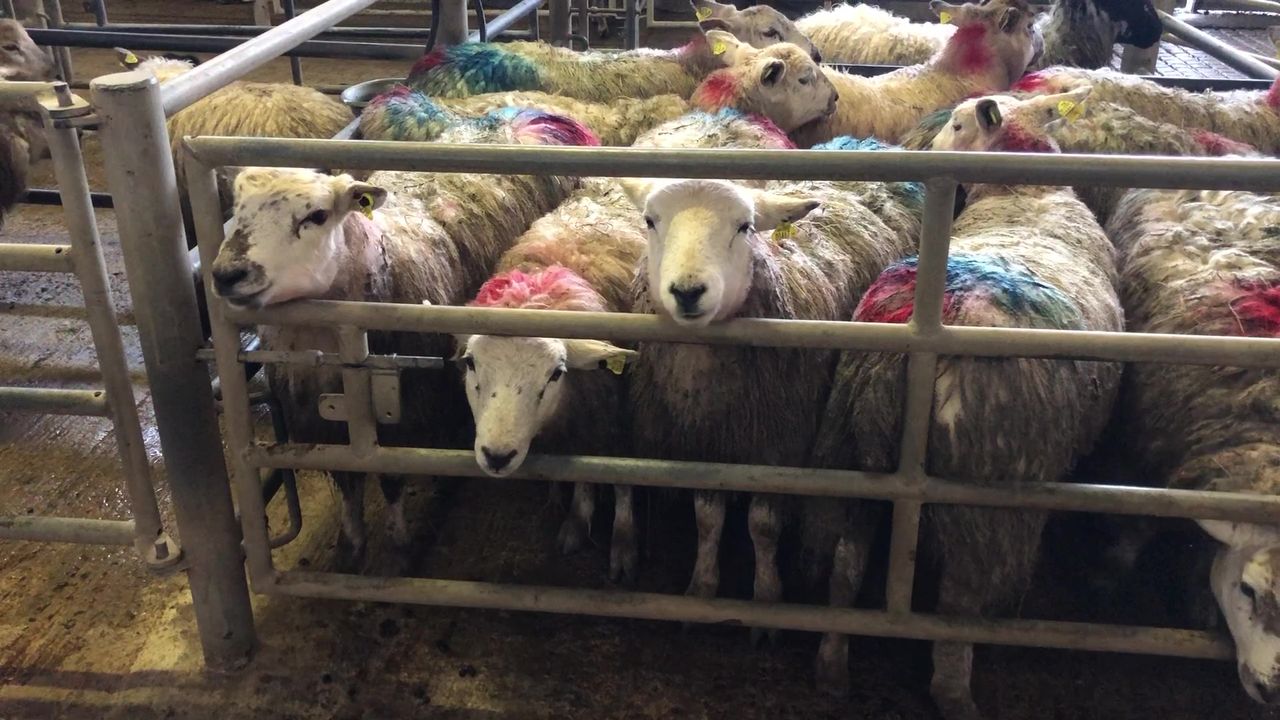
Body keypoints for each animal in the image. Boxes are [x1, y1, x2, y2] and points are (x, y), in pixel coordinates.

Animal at [206, 108, 598, 570]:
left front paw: (399, 541)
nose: (226, 274)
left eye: (316, 216)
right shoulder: (321, 419)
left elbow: (391, 477)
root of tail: (520, 120)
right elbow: (347, 480)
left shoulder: (407, 411)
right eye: (237, 210)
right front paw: (351, 543)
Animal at [619, 138, 922, 637]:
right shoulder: (709, 443)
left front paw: (765, 602)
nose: (687, 291)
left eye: (744, 227)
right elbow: (707, 519)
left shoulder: (782, 443)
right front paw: (702, 589)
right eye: (649, 221)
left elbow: (763, 525)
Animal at [810, 97, 1122, 716]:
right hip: (986, 491)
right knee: (960, 600)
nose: (922, 150)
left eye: (956, 124)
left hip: (852, 447)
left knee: (846, 560)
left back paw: (832, 663)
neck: (1023, 194)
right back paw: (953, 691)